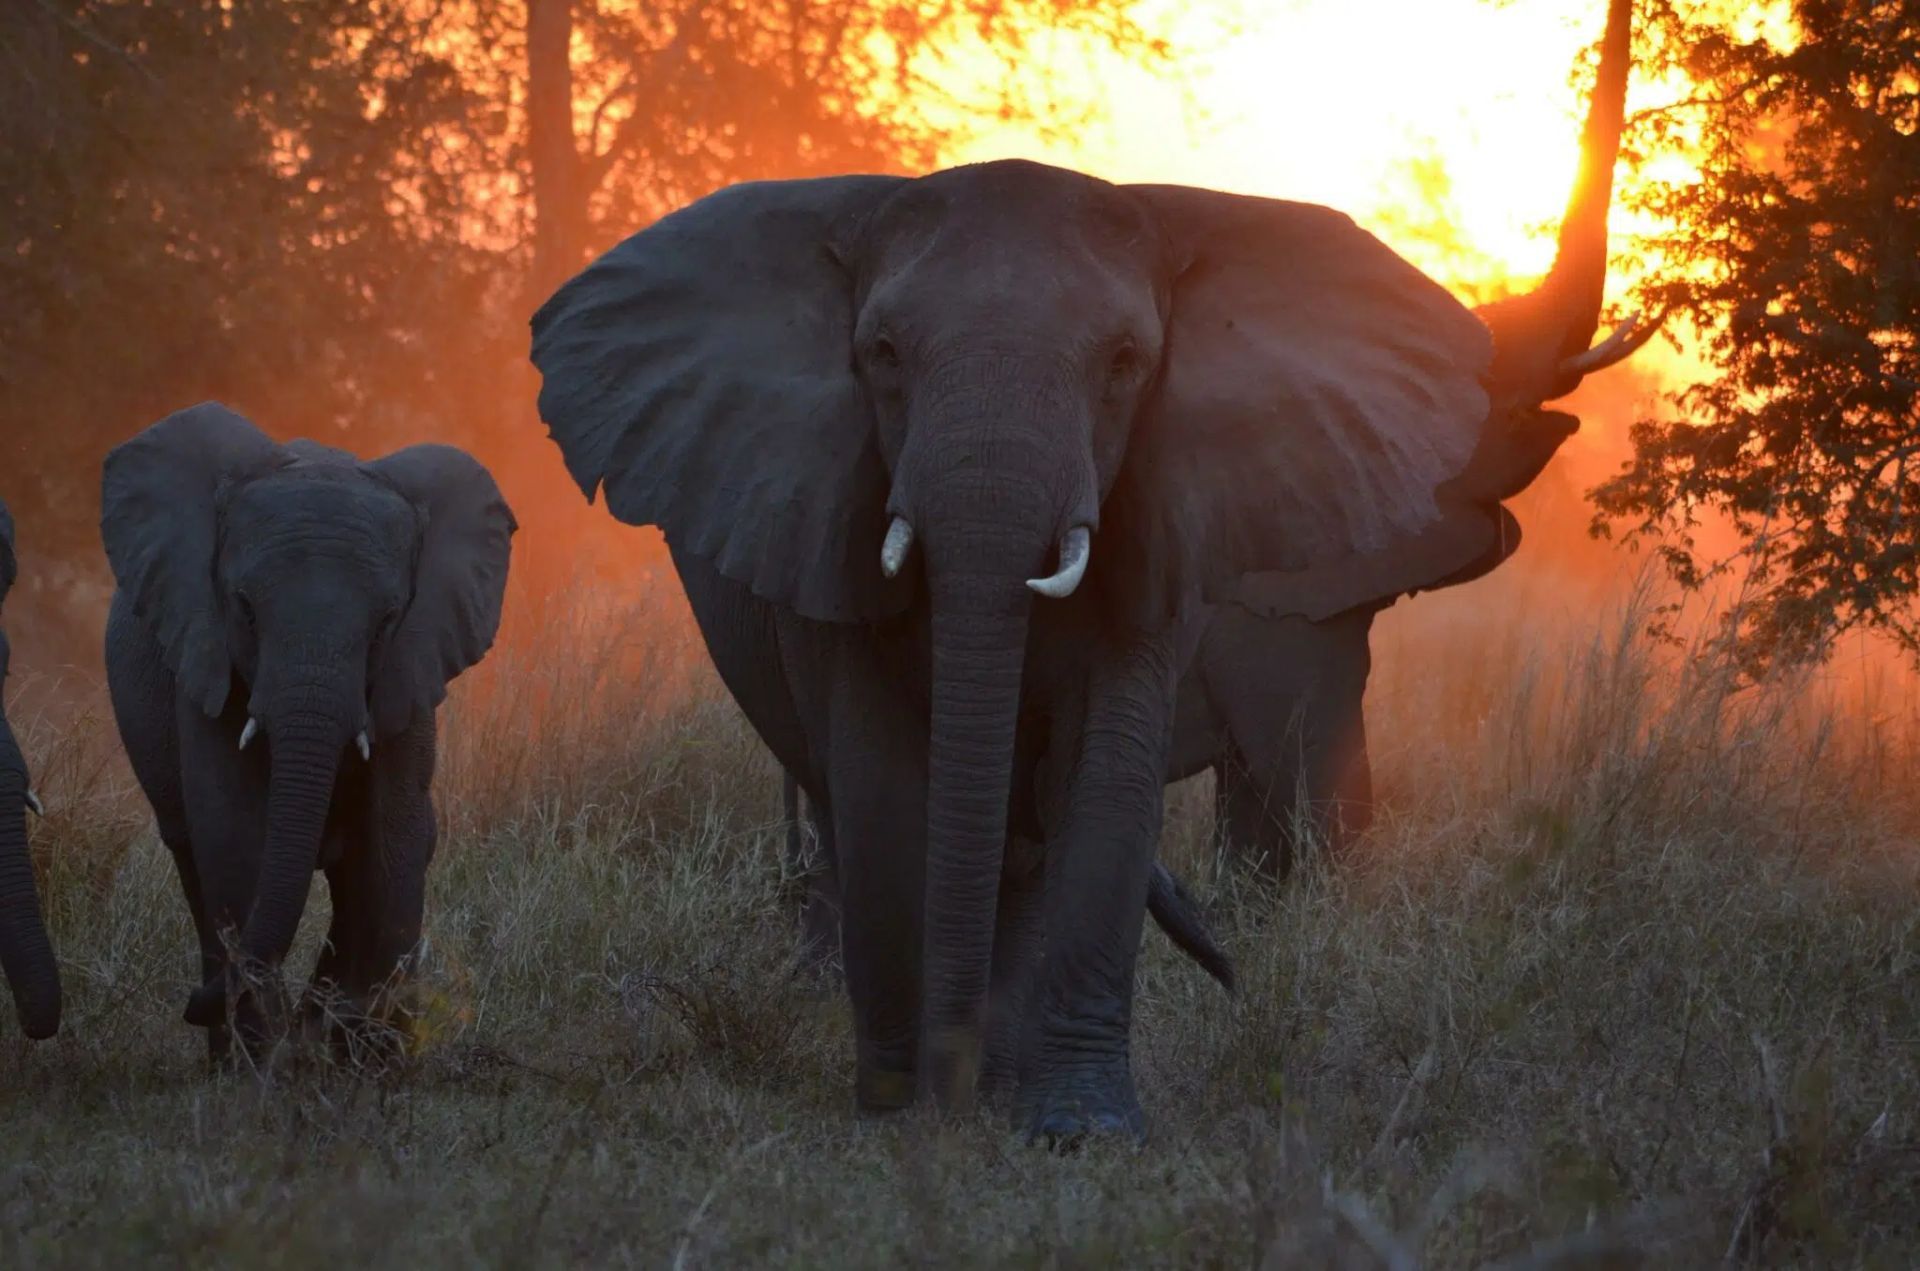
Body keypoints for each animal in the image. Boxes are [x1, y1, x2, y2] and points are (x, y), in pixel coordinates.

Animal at [101, 404, 516, 1061]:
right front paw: (265, 1062)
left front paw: (361, 1064)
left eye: (387, 622)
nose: (191, 1004)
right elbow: (233, 829)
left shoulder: (410, 668)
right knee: (192, 857)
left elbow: (392, 838)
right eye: (245, 610)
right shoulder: (205, 655)